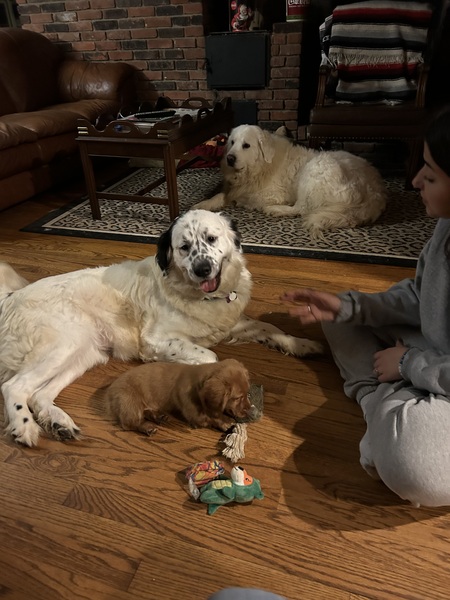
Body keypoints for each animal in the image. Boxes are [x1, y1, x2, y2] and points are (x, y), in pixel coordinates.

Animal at [106, 358, 253, 434]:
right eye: (237, 398)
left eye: (247, 393)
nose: (249, 411)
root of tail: (109, 391)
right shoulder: (193, 413)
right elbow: (210, 416)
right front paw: (225, 421)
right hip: (130, 403)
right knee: (129, 423)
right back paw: (147, 427)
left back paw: (158, 416)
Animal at [193, 124, 386, 237]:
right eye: (232, 142)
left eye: (246, 145)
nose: (230, 158)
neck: (259, 167)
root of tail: (375, 194)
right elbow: (220, 195)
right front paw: (202, 205)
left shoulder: (271, 194)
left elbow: (242, 197)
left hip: (315, 168)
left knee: (301, 208)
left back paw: (276, 210)